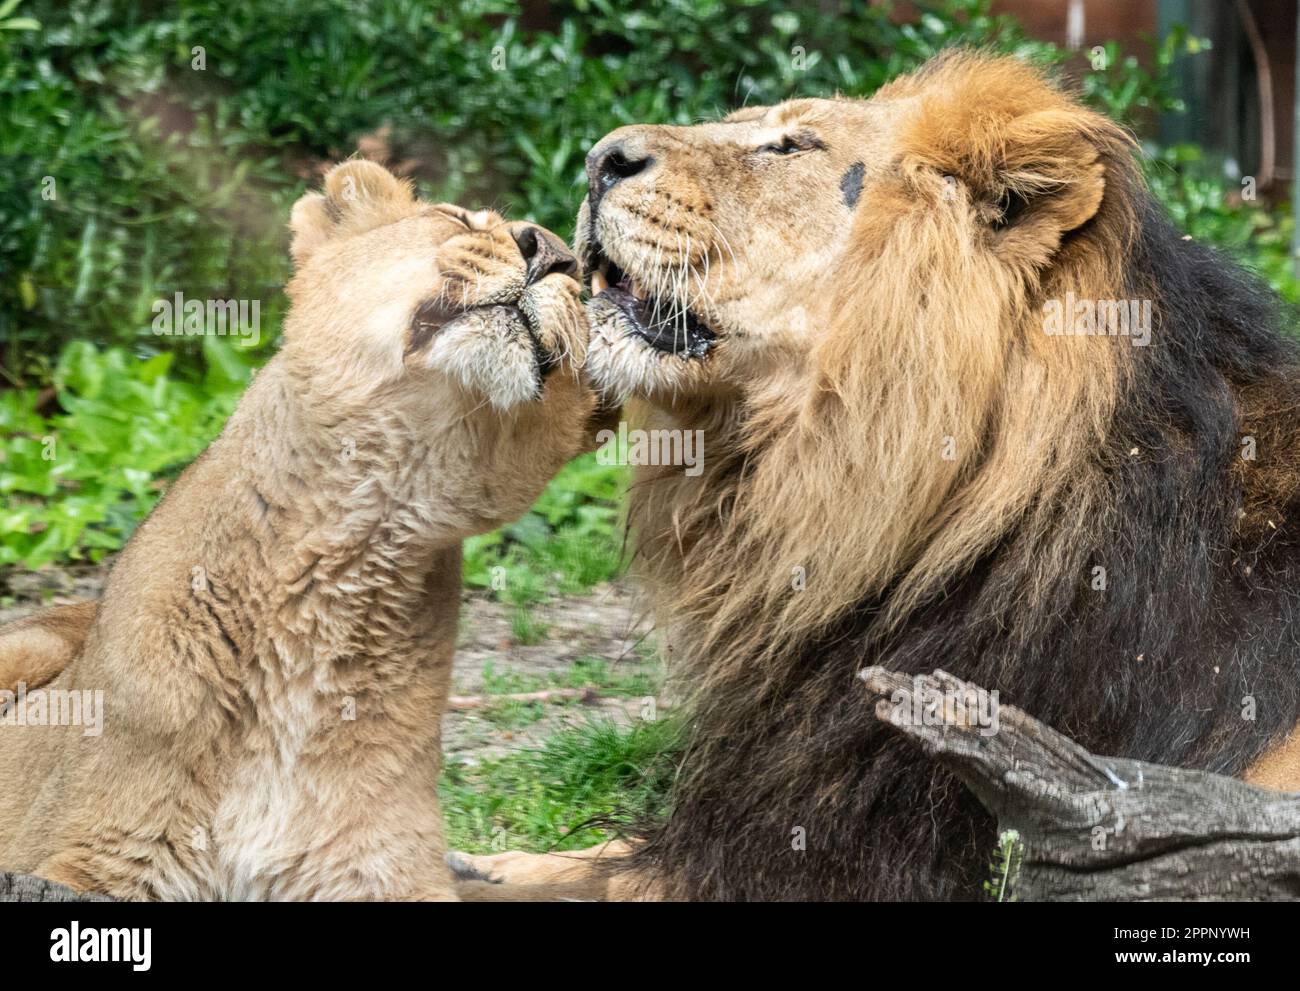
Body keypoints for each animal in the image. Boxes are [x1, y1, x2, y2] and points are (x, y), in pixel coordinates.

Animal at [0, 159, 594, 900]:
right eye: (456, 219)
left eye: (582, 284)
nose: (554, 252)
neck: (362, 526)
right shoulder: (89, 852)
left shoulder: (383, 866)